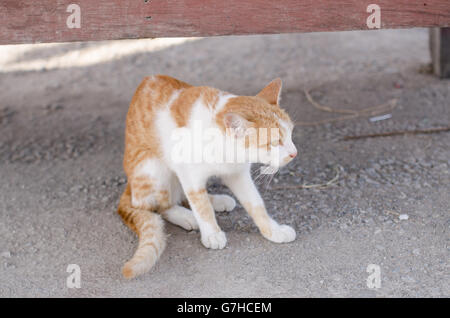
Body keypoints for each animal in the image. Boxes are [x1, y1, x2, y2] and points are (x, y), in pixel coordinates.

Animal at [118, 75, 298, 278]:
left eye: (290, 134)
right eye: (274, 142)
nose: (294, 153)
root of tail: (130, 186)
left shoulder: (238, 173)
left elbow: (256, 203)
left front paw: (273, 230)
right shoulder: (188, 173)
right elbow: (200, 205)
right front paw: (211, 233)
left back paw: (217, 200)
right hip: (153, 168)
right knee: (157, 204)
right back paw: (185, 215)